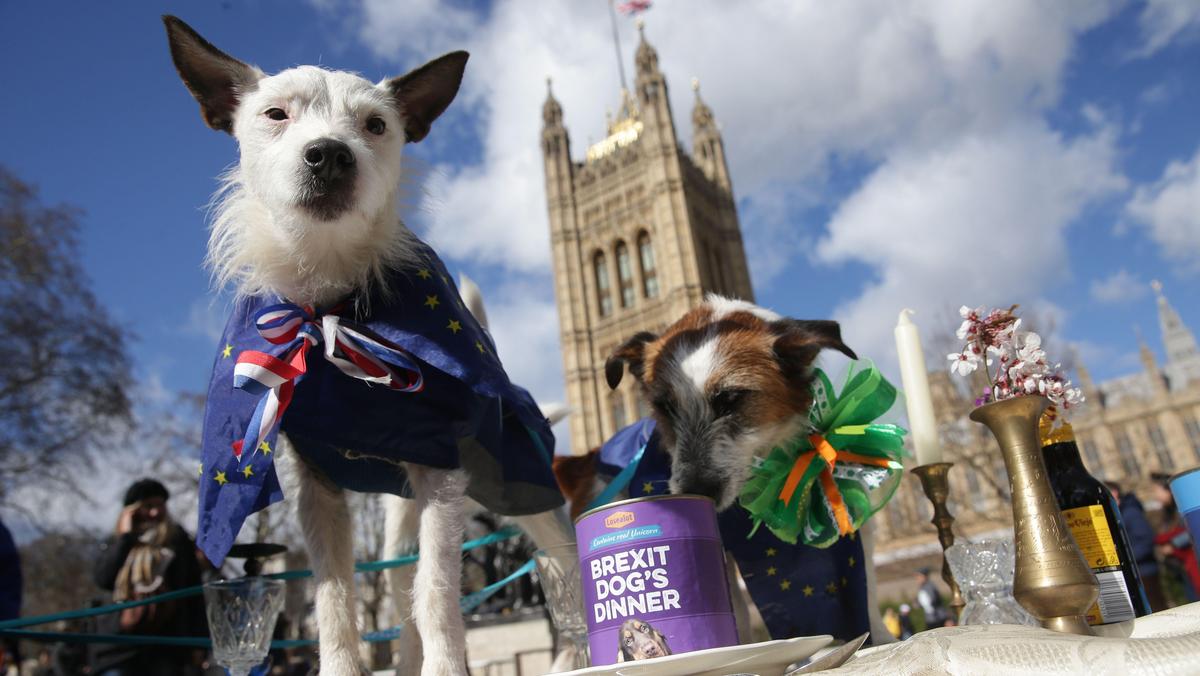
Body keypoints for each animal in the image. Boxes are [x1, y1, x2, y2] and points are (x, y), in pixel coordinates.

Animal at [165, 17, 576, 676]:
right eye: (276, 114)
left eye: (376, 126)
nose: (330, 153)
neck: (331, 310)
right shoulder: (316, 494)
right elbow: (336, 601)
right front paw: (342, 663)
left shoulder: (442, 475)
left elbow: (437, 594)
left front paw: (445, 668)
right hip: (397, 517)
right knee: (401, 585)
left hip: (528, 491)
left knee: (559, 571)